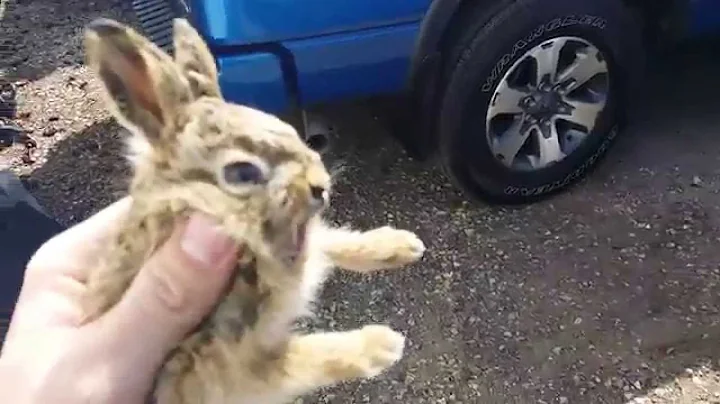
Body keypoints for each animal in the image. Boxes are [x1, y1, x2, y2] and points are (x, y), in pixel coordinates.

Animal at [80, 17, 426, 404]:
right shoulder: (219, 365)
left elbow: (331, 242)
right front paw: (382, 345)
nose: (320, 185)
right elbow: (302, 358)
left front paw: (401, 245)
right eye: (242, 173)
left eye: (294, 133)